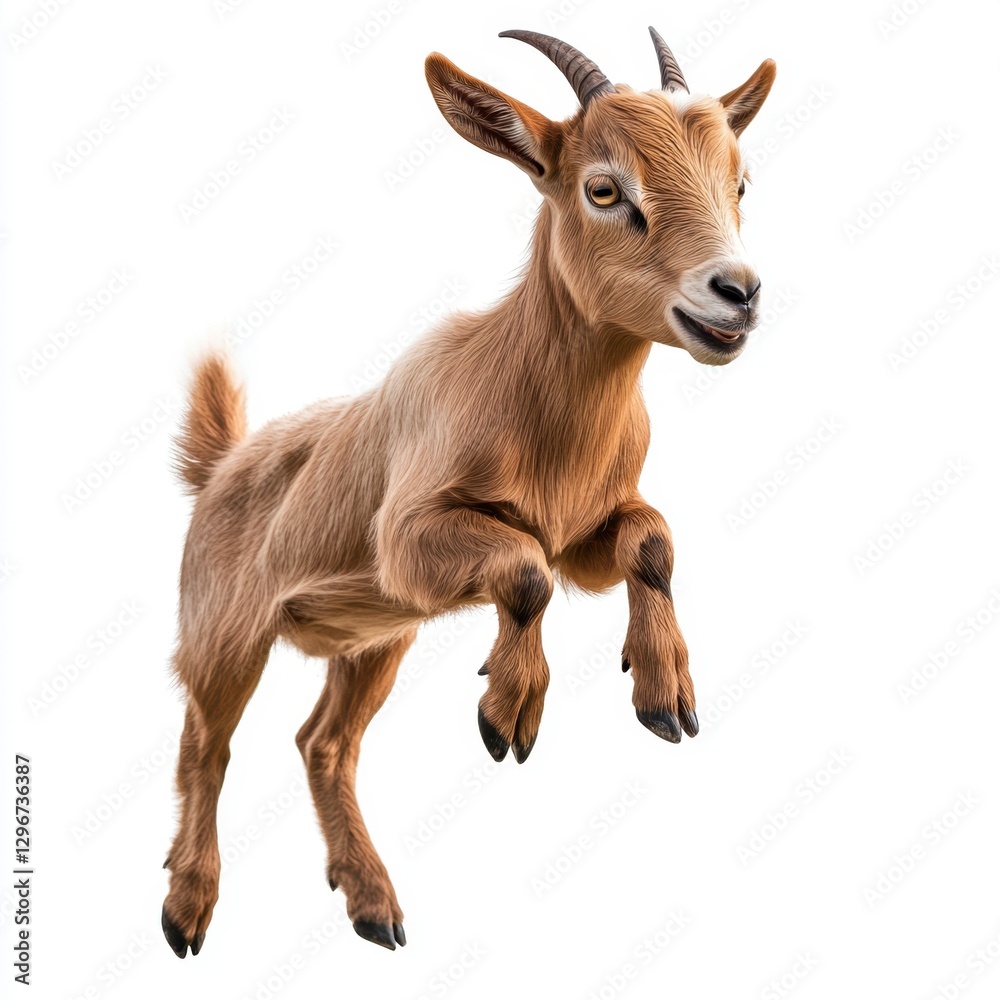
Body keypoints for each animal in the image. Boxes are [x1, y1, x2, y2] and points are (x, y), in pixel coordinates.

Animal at [161, 28, 776, 956]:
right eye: (604, 188)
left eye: (738, 183)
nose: (736, 293)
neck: (539, 411)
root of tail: (224, 462)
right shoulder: (407, 539)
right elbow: (522, 569)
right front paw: (509, 707)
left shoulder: (580, 534)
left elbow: (648, 539)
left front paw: (663, 691)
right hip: (223, 630)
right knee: (207, 745)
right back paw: (187, 908)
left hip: (375, 637)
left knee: (322, 743)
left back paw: (372, 903)